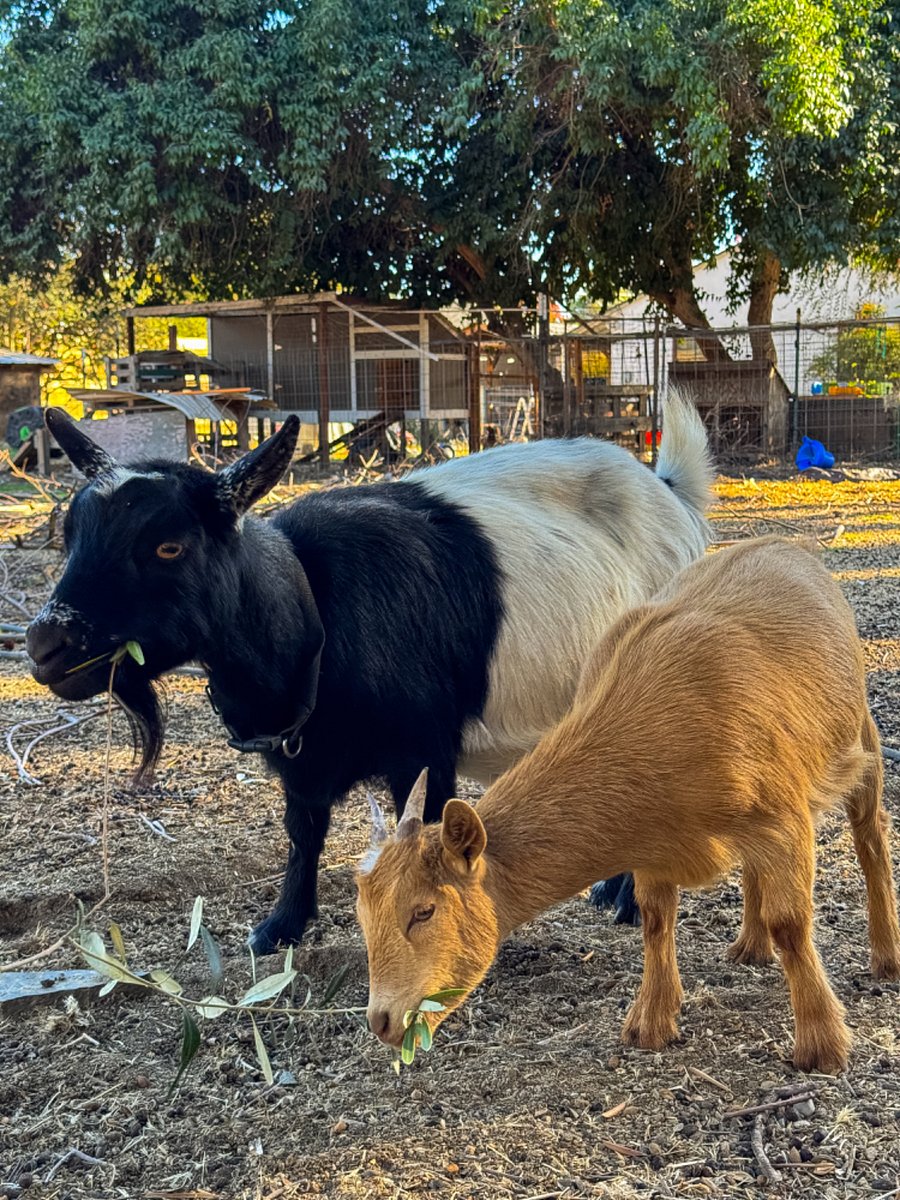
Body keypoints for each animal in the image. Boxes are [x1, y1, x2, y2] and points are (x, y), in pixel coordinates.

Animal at [27, 395, 711, 953]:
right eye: (70, 534)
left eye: (170, 545)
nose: (44, 643)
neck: (314, 614)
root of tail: (671, 492)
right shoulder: (301, 762)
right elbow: (304, 834)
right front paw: (280, 928)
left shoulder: (425, 752)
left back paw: (628, 900)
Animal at [357, 537, 900, 1074]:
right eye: (364, 915)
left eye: (423, 911)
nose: (382, 1021)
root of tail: (795, 547)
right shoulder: (657, 843)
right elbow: (657, 918)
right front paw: (650, 1025)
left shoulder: (781, 817)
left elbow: (790, 922)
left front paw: (822, 1047)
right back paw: (749, 947)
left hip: (859, 733)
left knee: (870, 832)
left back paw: (886, 957)